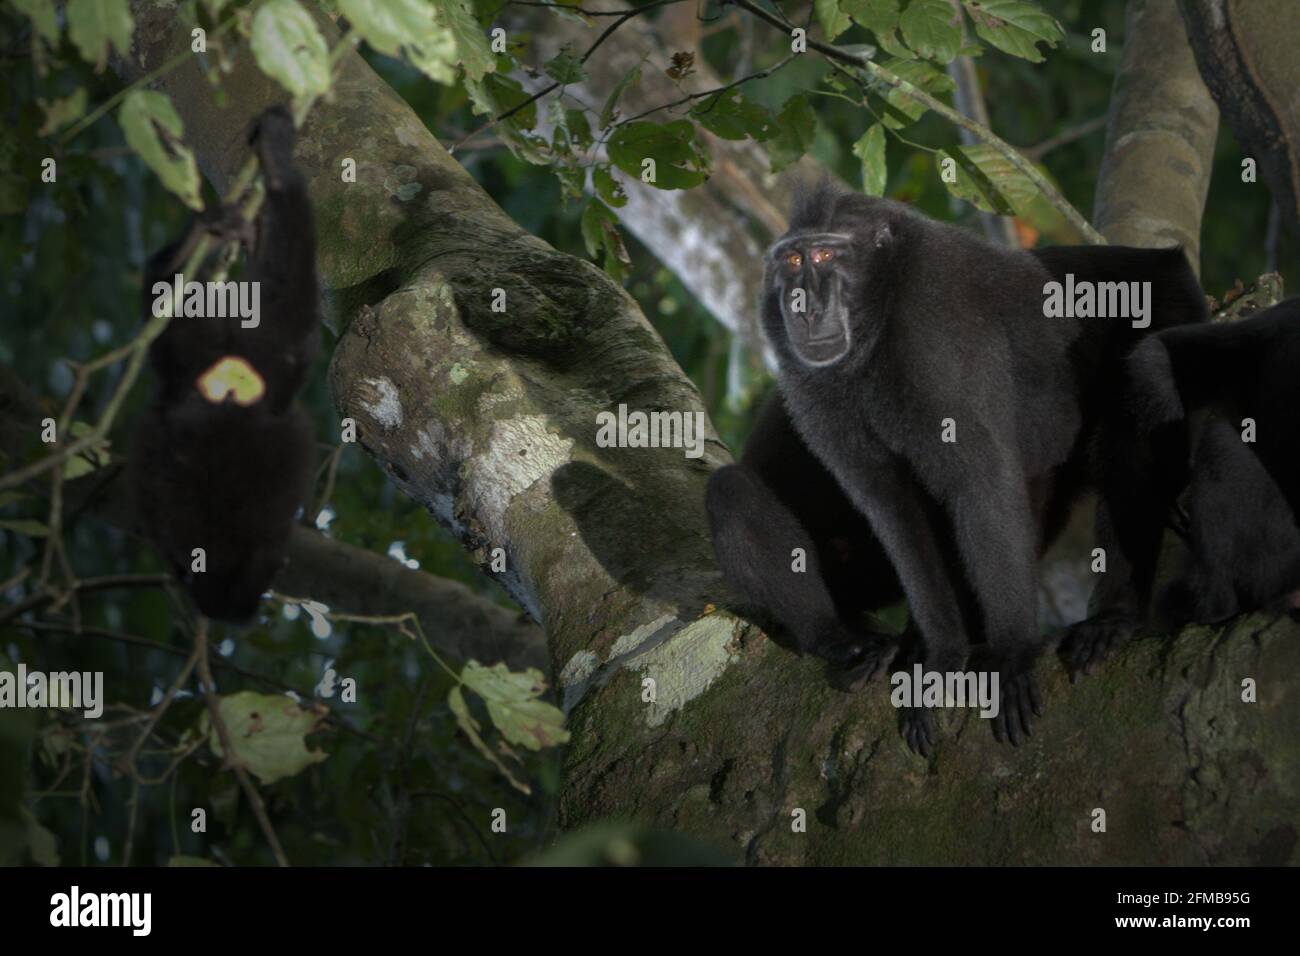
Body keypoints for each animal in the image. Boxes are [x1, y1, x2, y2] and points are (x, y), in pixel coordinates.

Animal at [708, 181, 1207, 753]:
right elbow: (894, 508)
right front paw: (941, 658)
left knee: (1133, 413)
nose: (804, 305)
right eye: (793, 260)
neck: (879, 325)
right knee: (728, 491)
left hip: (1167, 302)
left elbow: (980, 483)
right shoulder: (813, 392)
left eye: (827, 257)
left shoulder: (932, 330)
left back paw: (1114, 617)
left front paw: (1013, 655)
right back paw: (844, 641)